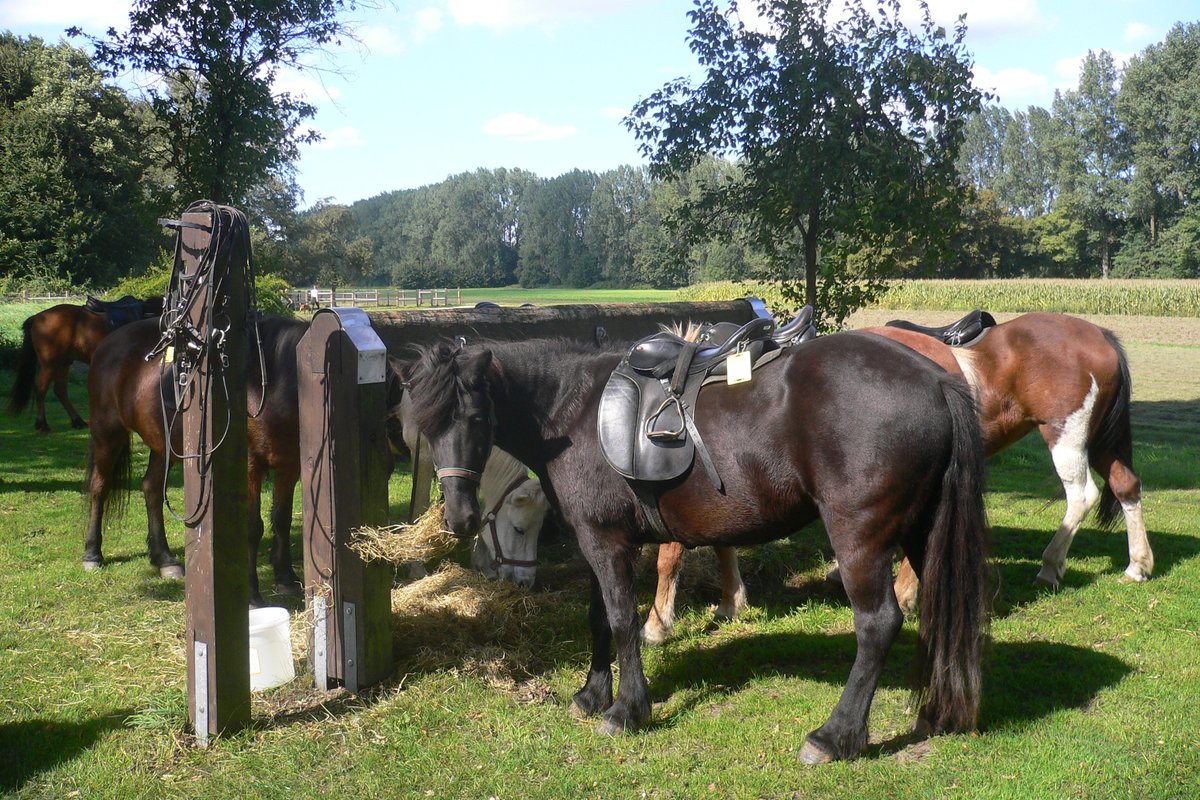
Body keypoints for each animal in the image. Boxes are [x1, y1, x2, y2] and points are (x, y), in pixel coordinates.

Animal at [7, 297, 163, 431]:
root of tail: (37, 317)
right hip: (50, 365)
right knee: (41, 389)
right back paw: (42, 423)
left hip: (63, 364)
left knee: (60, 391)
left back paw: (77, 421)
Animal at [408, 331, 988, 762]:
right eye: (427, 426)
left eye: (475, 419)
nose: (458, 518)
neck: (572, 410)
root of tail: (936, 380)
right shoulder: (595, 542)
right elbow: (598, 618)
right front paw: (593, 695)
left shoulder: (605, 542)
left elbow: (621, 620)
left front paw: (627, 710)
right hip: (923, 532)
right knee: (939, 603)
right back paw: (937, 712)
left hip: (860, 538)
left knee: (877, 623)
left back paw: (835, 736)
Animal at [648, 311, 1152, 642]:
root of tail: (1099, 334)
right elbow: (720, 538)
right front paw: (731, 601)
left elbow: (671, 553)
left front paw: (658, 622)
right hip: (1097, 440)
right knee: (1126, 486)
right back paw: (1137, 564)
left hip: (1065, 436)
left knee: (1081, 496)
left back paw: (1047, 566)